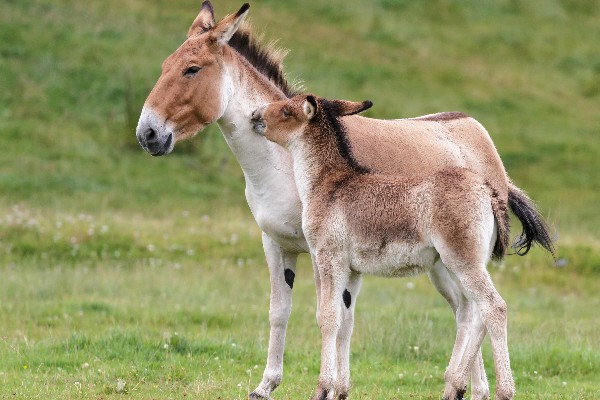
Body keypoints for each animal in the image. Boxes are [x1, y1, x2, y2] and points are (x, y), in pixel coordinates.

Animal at [253, 94, 516, 400]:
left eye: (286, 110)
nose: (255, 115)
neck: (328, 185)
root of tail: (488, 192)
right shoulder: (353, 270)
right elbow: (346, 322)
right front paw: (340, 391)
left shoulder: (329, 258)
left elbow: (328, 318)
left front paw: (321, 389)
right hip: (461, 265)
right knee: (474, 314)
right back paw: (455, 386)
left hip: (464, 262)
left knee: (494, 307)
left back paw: (504, 390)